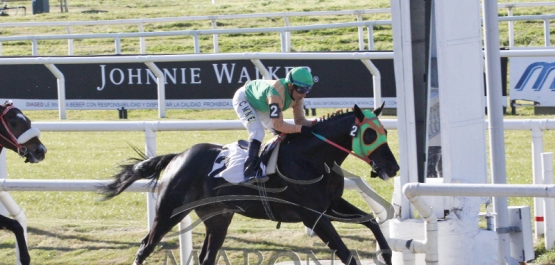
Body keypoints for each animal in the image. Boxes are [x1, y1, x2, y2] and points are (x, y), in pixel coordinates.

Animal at [101, 103, 400, 264]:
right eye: (370, 134)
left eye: (385, 131)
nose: (393, 167)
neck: (313, 159)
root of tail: (177, 157)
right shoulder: (314, 216)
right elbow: (346, 254)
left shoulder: (331, 205)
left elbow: (371, 221)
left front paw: (387, 254)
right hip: (167, 213)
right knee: (145, 246)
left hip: (218, 218)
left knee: (207, 257)